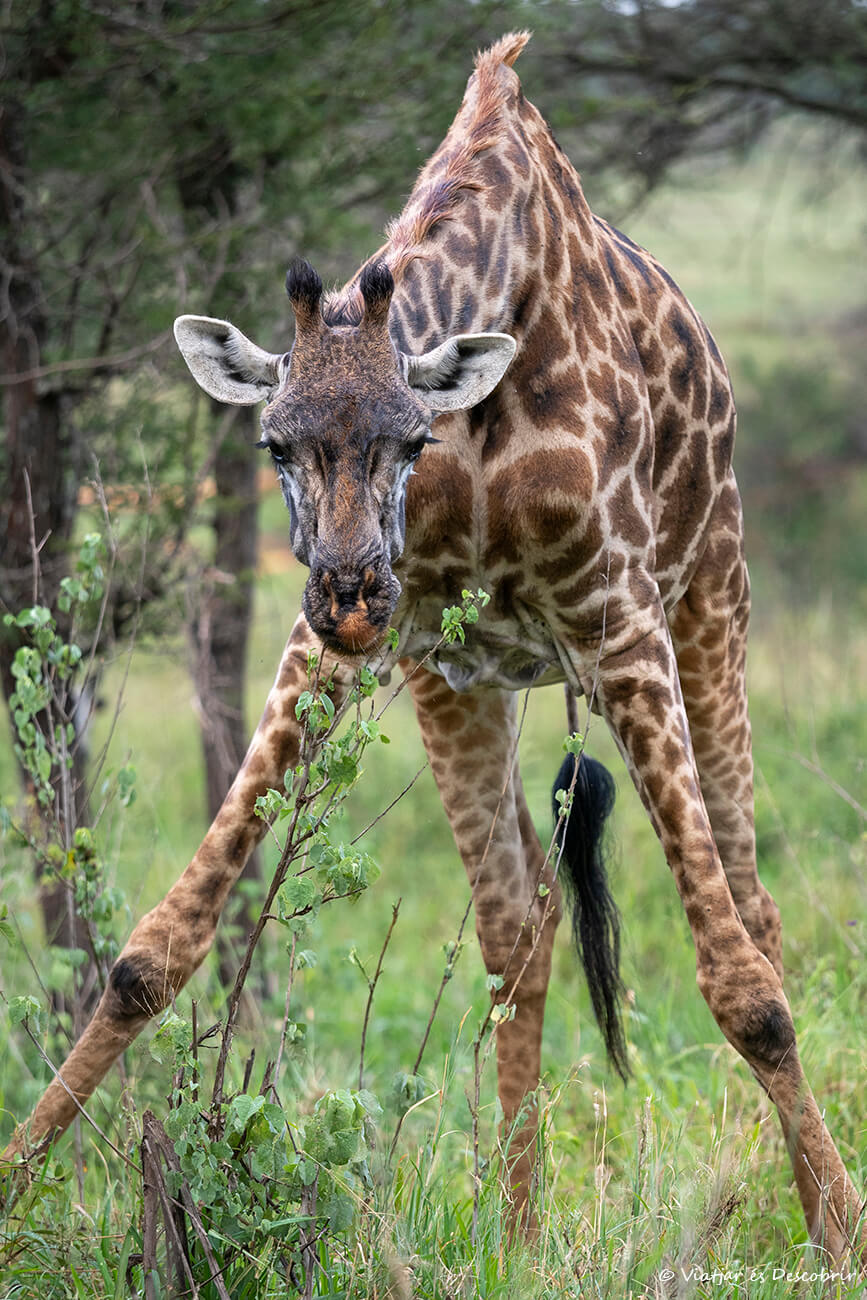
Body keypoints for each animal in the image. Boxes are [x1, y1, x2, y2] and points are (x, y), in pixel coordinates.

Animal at [3, 32, 864, 1259]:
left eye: (409, 439)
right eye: (274, 444)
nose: (352, 593)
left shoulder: (621, 616)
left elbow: (747, 992)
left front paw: (843, 1236)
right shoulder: (349, 642)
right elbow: (148, 951)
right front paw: (16, 1185)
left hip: (713, 599)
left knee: (755, 912)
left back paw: (803, 1212)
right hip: (463, 679)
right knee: (521, 922)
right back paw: (517, 1233)